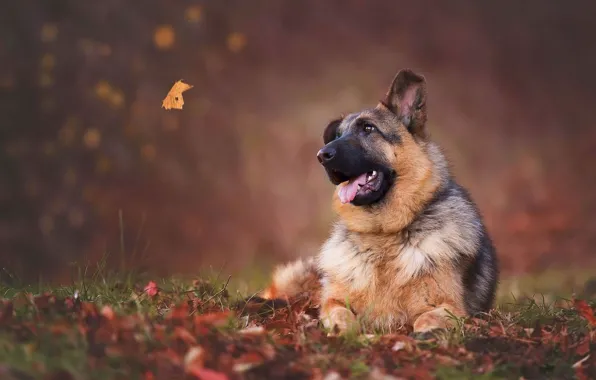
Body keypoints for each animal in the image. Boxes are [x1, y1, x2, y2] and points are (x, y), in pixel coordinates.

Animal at [260, 70, 498, 334]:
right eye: (338, 135)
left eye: (368, 128)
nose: (322, 155)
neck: (383, 233)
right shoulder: (332, 300)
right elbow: (338, 311)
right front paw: (344, 329)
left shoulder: (450, 306)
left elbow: (427, 319)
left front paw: (424, 332)